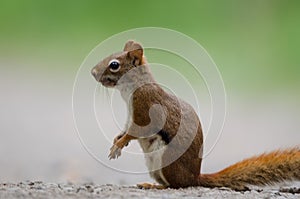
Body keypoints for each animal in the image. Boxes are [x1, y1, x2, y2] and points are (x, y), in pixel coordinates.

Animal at [91, 39, 300, 190]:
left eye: (114, 64)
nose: (92, 72)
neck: (132, 89)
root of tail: (195, 177)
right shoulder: (130, 114)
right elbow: (126, 129)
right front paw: (117, 140)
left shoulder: (146, 109)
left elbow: (136, 130)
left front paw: (119, 144)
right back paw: (149, 183)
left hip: (167, 161)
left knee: (175, 186)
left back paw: (155, 187)